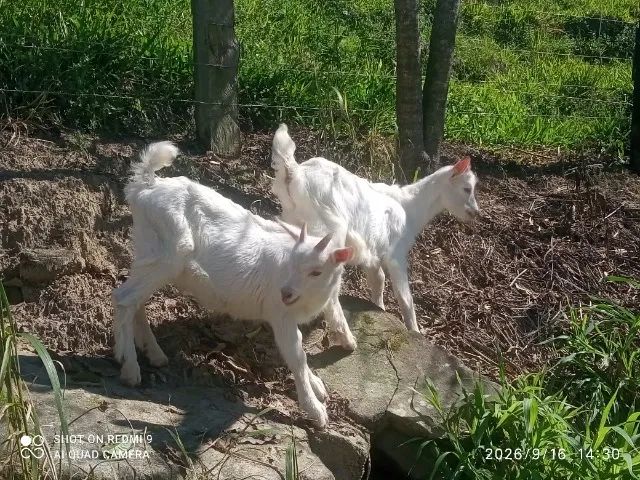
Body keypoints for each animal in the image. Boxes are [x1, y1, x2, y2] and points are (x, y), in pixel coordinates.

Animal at [112, 141, 356, 428]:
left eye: (316, 272)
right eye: (293, 263)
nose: (286, 292)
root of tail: (145, 185)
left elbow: (299, 353)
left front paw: (317, 386)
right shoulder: (280, 314)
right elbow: (297, 356)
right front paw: (316, 411)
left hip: (147, 251)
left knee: (136, 300)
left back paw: (154, 354)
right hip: (168, 255)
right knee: (123, 298)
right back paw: (130, 368)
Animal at [271, 124, 480, 332]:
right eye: (467, 188)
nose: (475, 212)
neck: (409, 207)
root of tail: (294, 173)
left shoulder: (372, 253)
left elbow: (378, 280)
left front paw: (378, 309)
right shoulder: (396, 253)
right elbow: (405, 297)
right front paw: (414, 330)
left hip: (295, 224)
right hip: (327, 231)